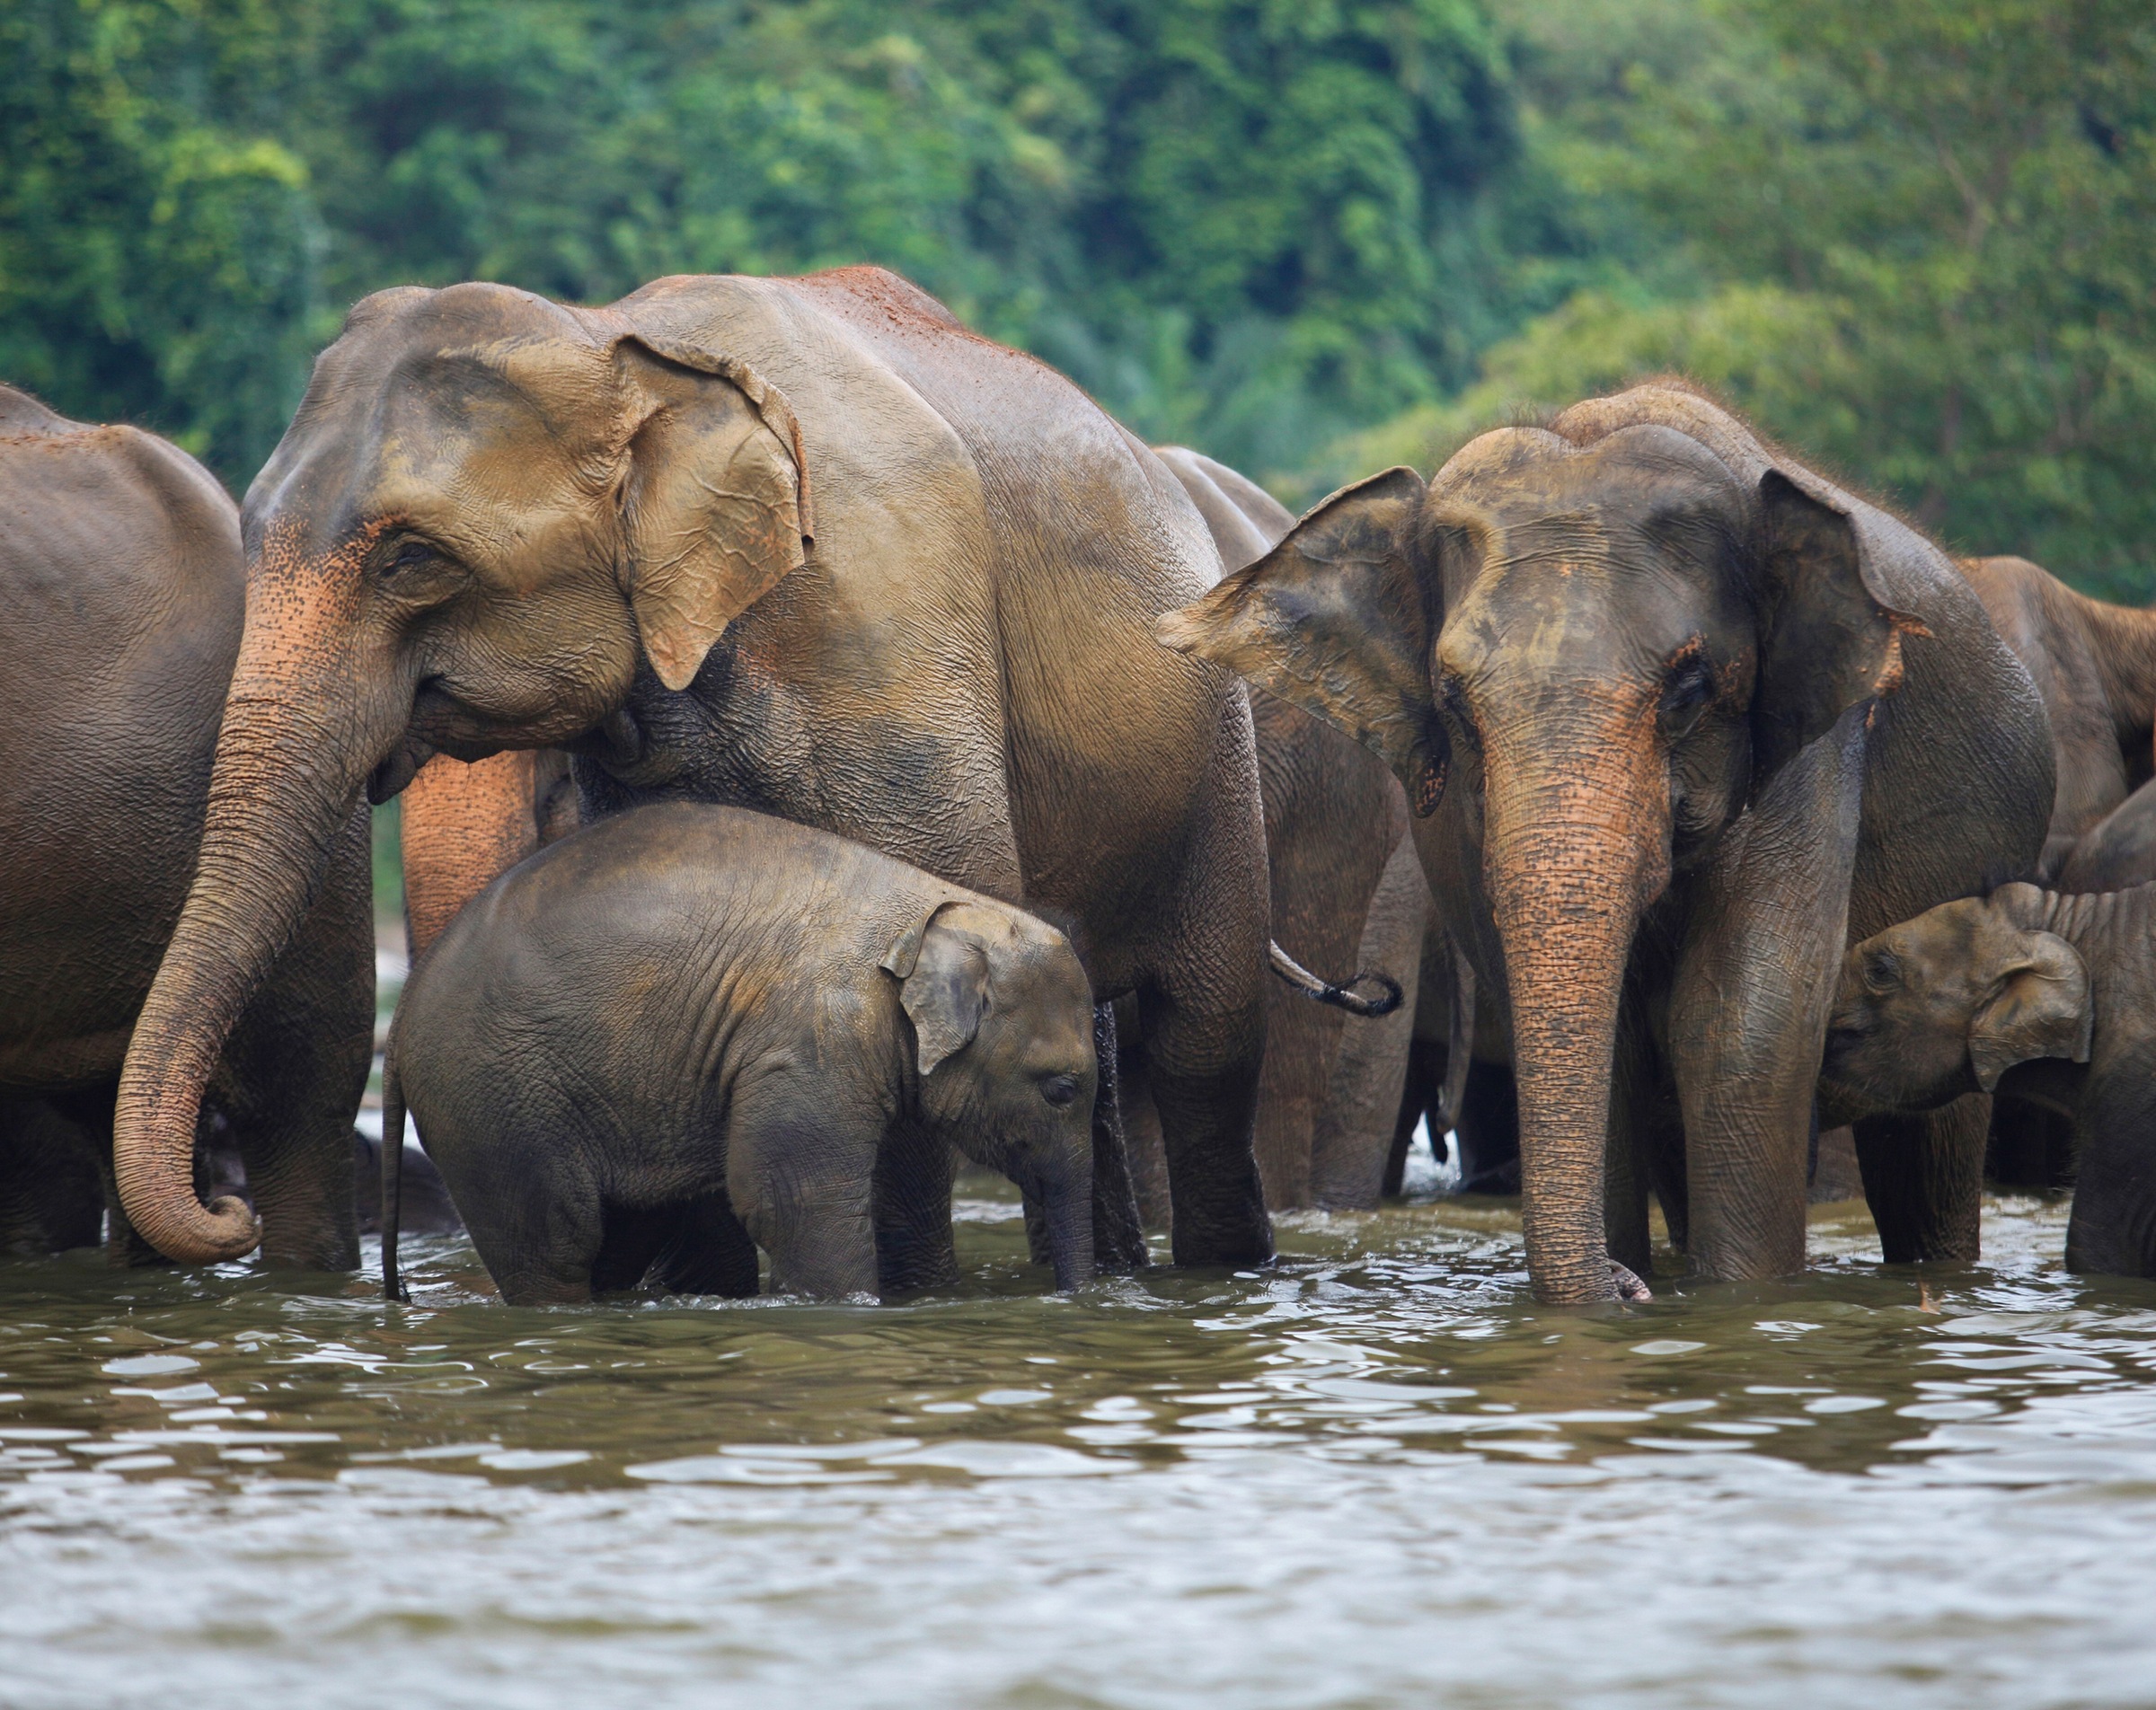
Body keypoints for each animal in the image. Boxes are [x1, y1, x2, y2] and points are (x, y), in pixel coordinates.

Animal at [377, 798, 1103, 1293]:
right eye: (1061, 1089)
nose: (1067, 1300)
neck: (933, 911)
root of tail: (405, 1007)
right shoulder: (810, 1045)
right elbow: (789, 1201)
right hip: (492, 1101)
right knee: (555, 1246)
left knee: (618, 1237)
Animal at [1164, 383, 2052, 1293]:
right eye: (1454, 703)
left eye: (1690, 689)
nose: (1626, 1285)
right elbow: (1619, 1051)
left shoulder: (1814, 743)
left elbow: (1743, 1028)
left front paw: (1736, 1298)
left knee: (1927, 1155)